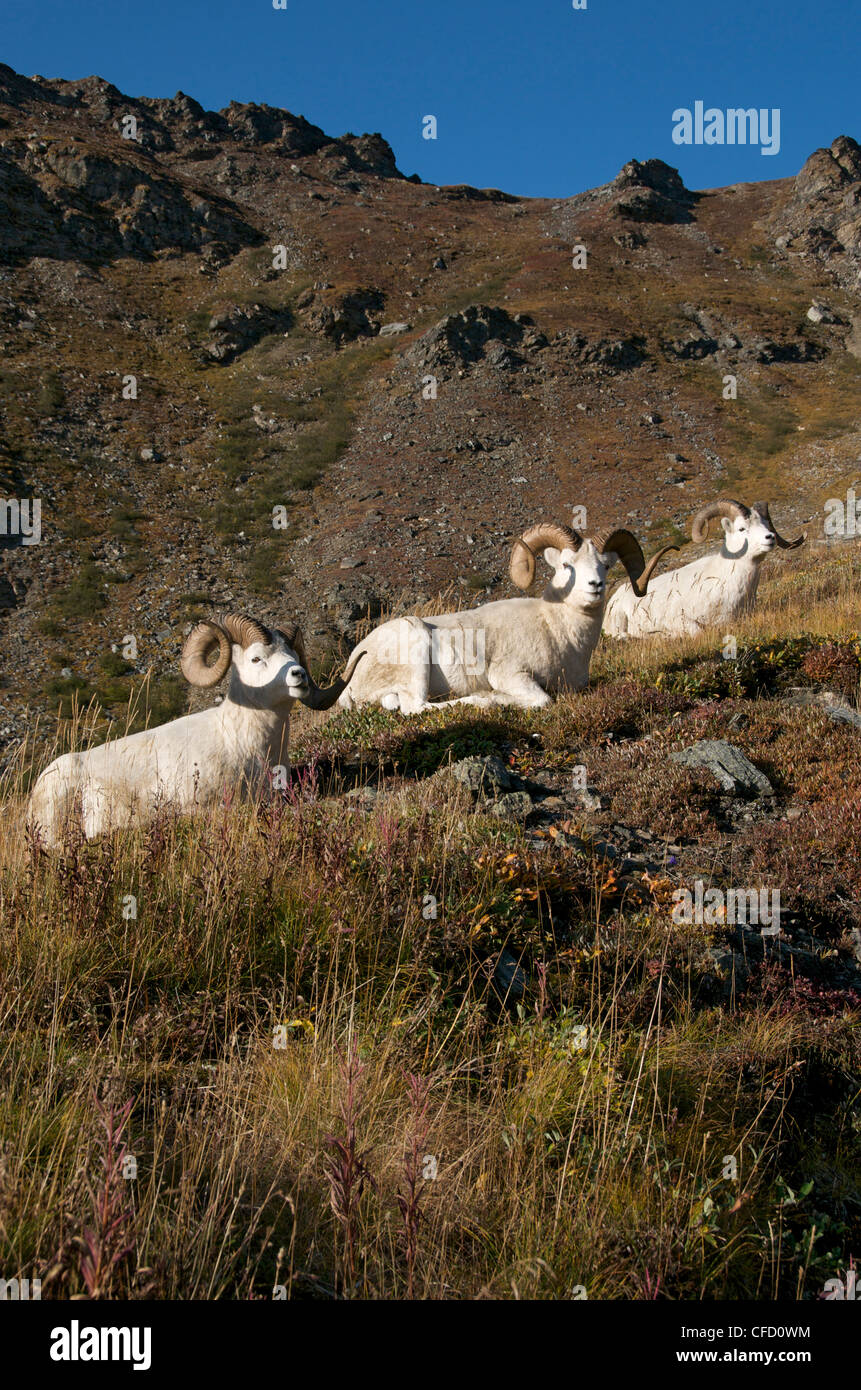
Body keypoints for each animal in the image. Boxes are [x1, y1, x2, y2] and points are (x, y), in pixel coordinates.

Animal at [337, 522, 676, 713]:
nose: (595, 585)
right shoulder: (512, 675)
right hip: (415, 648)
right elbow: (542, 700)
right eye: (567, 565)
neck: (559, 631)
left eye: (605, 565)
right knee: (414, 708)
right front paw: (497, 697)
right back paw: (483, 700)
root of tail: (355, 664)